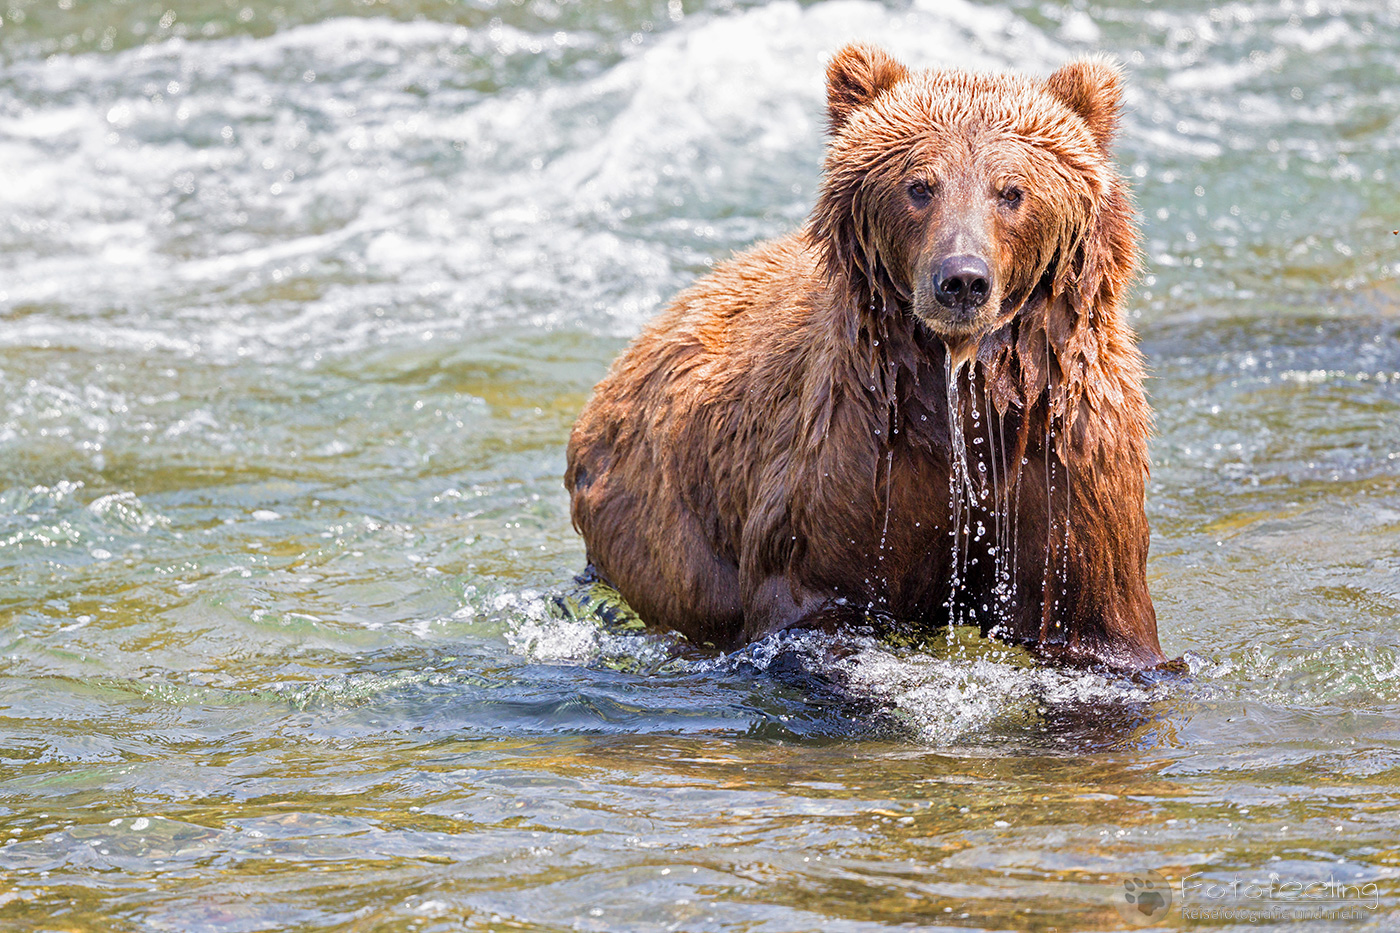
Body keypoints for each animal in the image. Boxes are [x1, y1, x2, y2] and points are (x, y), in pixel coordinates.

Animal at [564, 43, 1166, 670]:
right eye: (920, 185)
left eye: (1011, 191)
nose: (962, 280)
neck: (958, 394)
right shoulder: (852, 466)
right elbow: (814, 602)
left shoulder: (1065, 465)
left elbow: (1100, 623)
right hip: (656, 527)